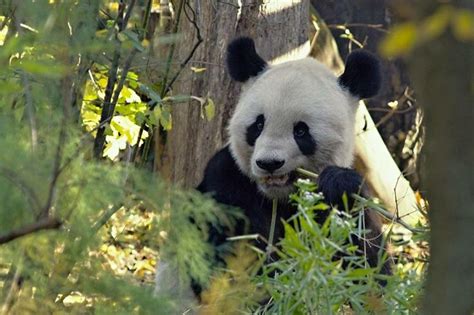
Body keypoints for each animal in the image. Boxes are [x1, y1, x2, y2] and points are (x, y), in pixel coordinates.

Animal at [157, 35, 390, 308]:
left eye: (301, 131)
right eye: (258, 125)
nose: (269, 163)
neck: (279, 196)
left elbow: (367, 266)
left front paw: (338, 184)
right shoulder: (227, 182)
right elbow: (223, 261)